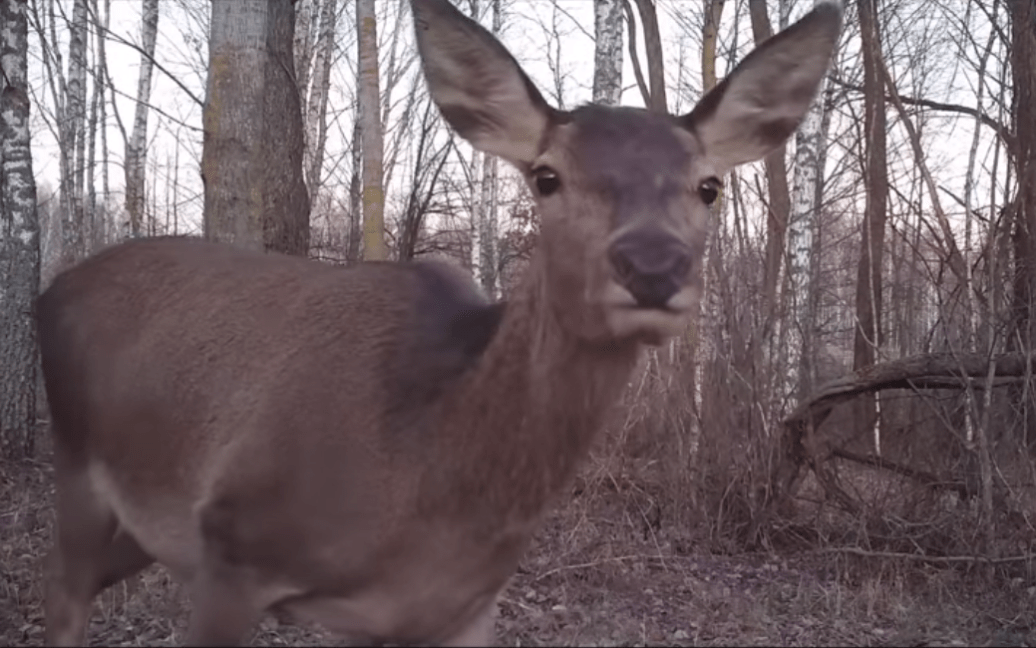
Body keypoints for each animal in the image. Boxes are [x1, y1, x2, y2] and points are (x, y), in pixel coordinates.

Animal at [36, 0, 841, 642]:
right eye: (546, 175)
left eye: (708, 185)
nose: (653, 264)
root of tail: (52, 289)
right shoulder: (233, 546)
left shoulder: (451, 610)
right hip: (76, 469)